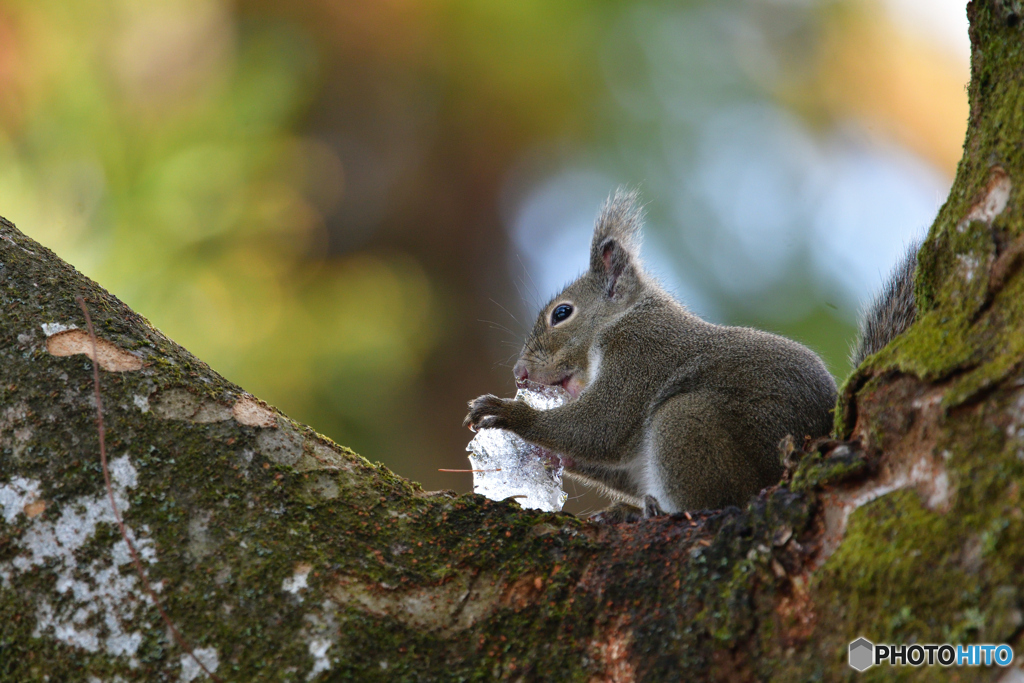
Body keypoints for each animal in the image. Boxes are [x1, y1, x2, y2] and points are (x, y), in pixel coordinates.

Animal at [464, 188, 921, 518]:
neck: (623, 318)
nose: (520, 373)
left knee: (714, 499)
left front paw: (509, 413)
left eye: (562, 313)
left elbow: (602, 427)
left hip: (686, 424)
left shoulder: (639, 353)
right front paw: (549, 454)